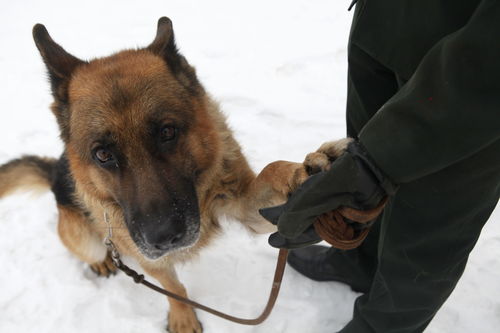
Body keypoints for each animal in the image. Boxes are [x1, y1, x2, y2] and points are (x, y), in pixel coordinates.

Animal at [0, 18, 324, 332]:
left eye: (167, 132)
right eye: (102, 154)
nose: (165, 238)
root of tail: (55, 172)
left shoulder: (245, 206)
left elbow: (272, 171)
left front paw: (299, 174)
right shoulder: (148, 259)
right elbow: (174, 288)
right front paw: (183, 317)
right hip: (85, 238)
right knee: (89, 250)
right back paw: (102, 262)